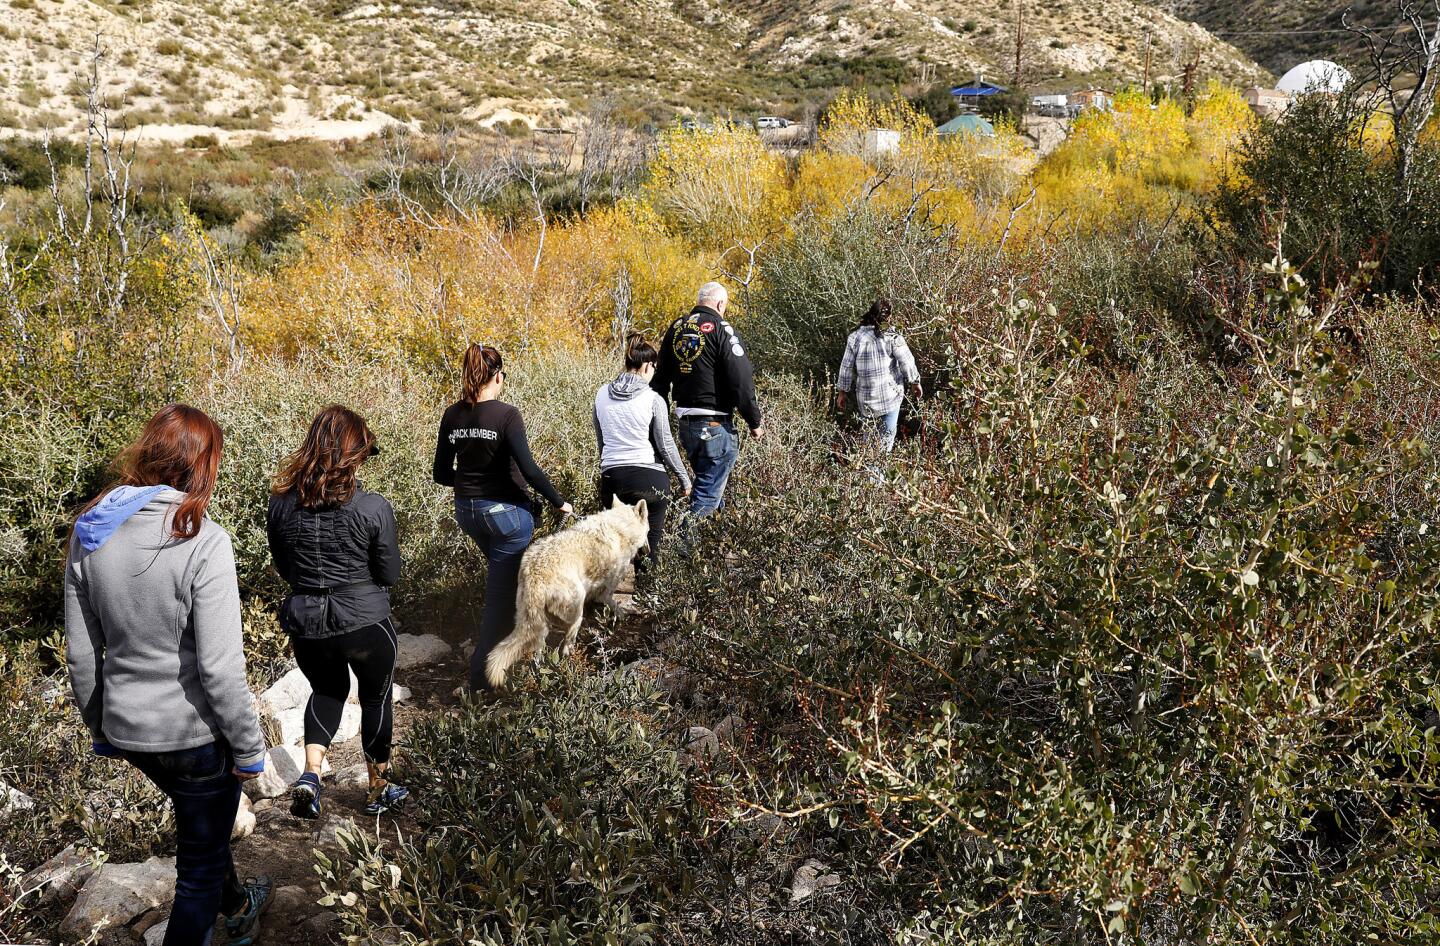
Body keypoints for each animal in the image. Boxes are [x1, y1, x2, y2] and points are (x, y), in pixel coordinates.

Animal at [486, 495, 650, 685]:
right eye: (649, 530)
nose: (648, 550)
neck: (620, 527)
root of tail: (535, 579)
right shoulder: (607, 590)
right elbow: (615, 604)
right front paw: (622, 616)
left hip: (538, 625)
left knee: (538, 652)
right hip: (575, 616)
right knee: (566, 646)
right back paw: (570, 665)